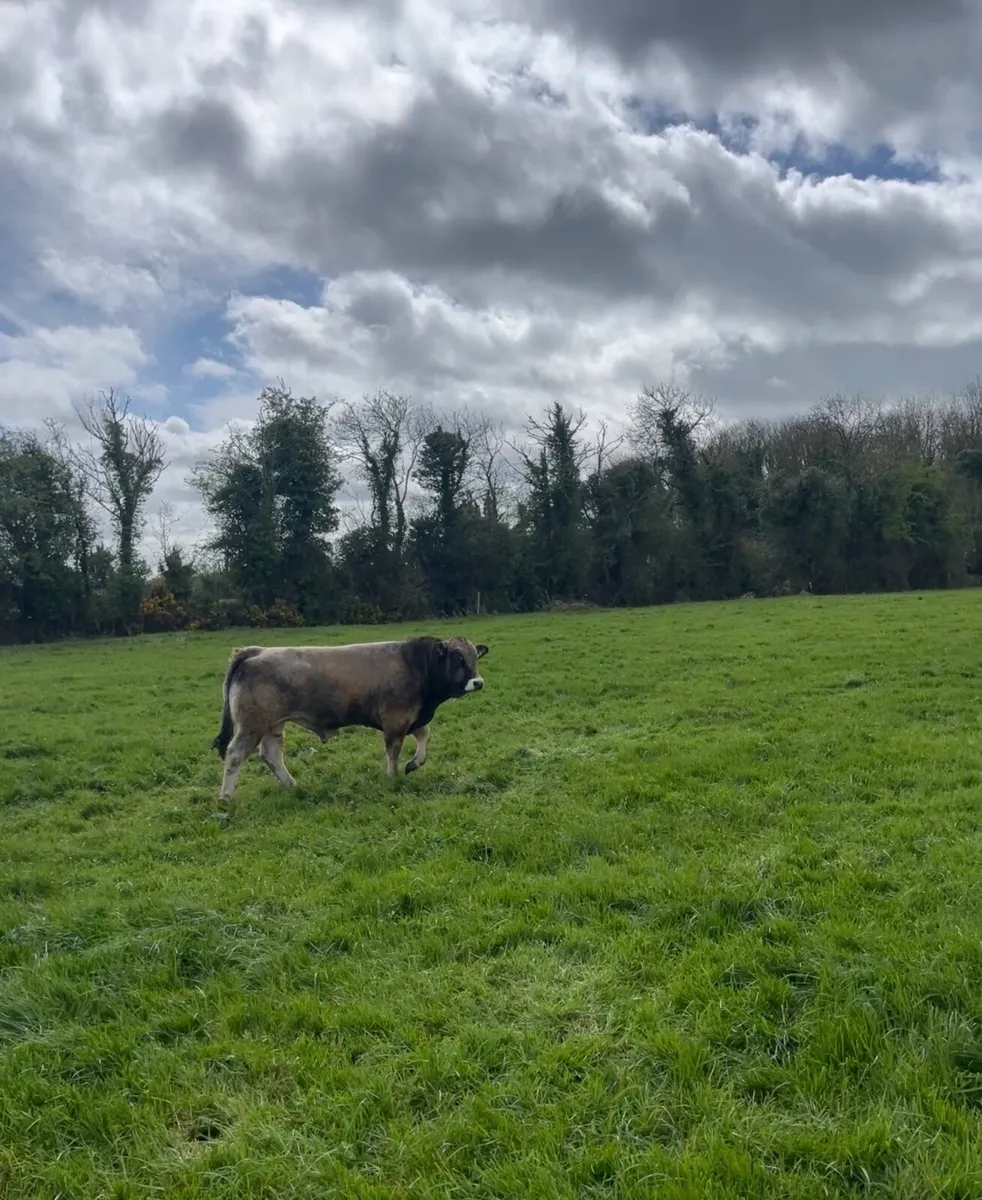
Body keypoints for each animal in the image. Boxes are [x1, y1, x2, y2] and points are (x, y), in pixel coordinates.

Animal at [210, 635, 489, 820]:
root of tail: (256, 651)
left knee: (271, 756)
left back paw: (293, 786)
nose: (478, 682)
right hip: (252, 726)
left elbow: (424, 737)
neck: (415, 665)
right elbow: (393, 750)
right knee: (235, 754)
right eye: (458, 657)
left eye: (475, 656)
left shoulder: (413, 718)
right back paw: (224, 799)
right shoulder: (396, 719)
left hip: (273, 726)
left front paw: (414, 764)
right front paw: (393, 777)